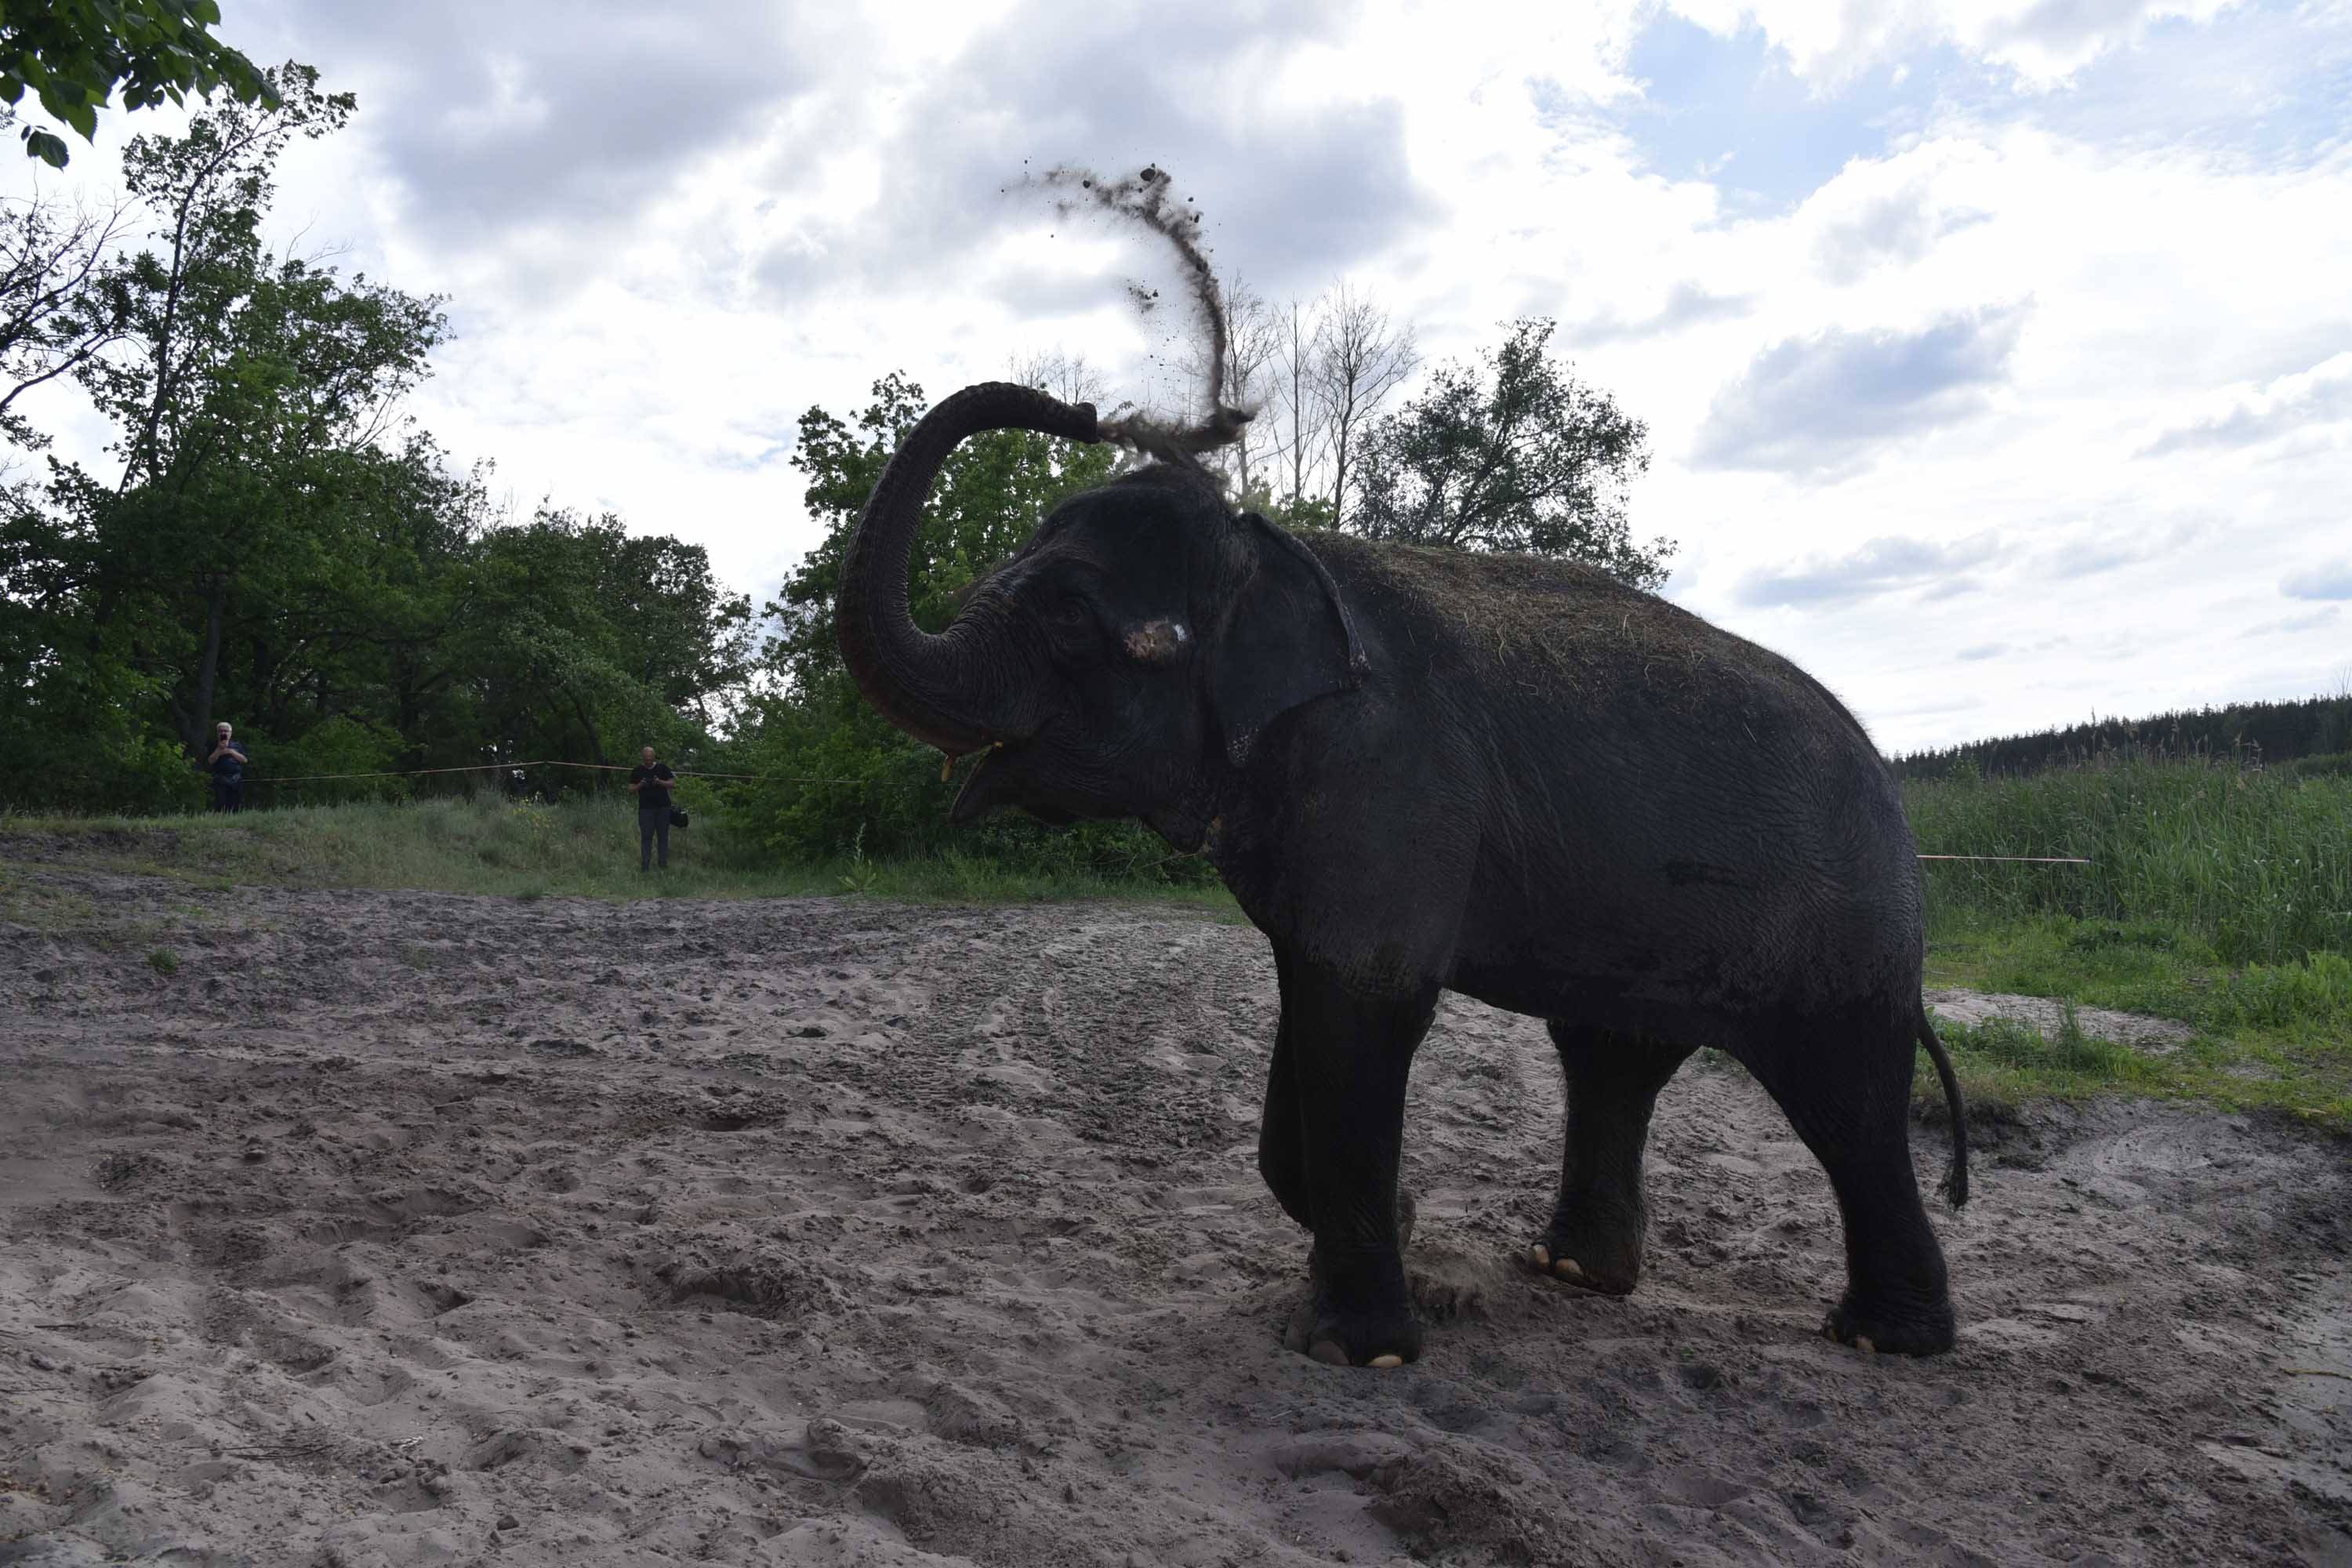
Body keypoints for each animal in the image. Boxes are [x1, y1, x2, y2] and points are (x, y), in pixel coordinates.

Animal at [837, 383, 1976, 1373]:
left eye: (1072, 619)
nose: (1081, 409)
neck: (1276, 555)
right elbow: (1311, 1000)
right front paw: (1408, 1232)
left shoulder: (1389, 774)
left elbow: (1364, 1002)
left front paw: (1360, 1346)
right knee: (1614, 1059)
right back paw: (1574, 1273)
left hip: (1846, 925)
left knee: (1843, 1100)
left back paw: (1883, 1340)